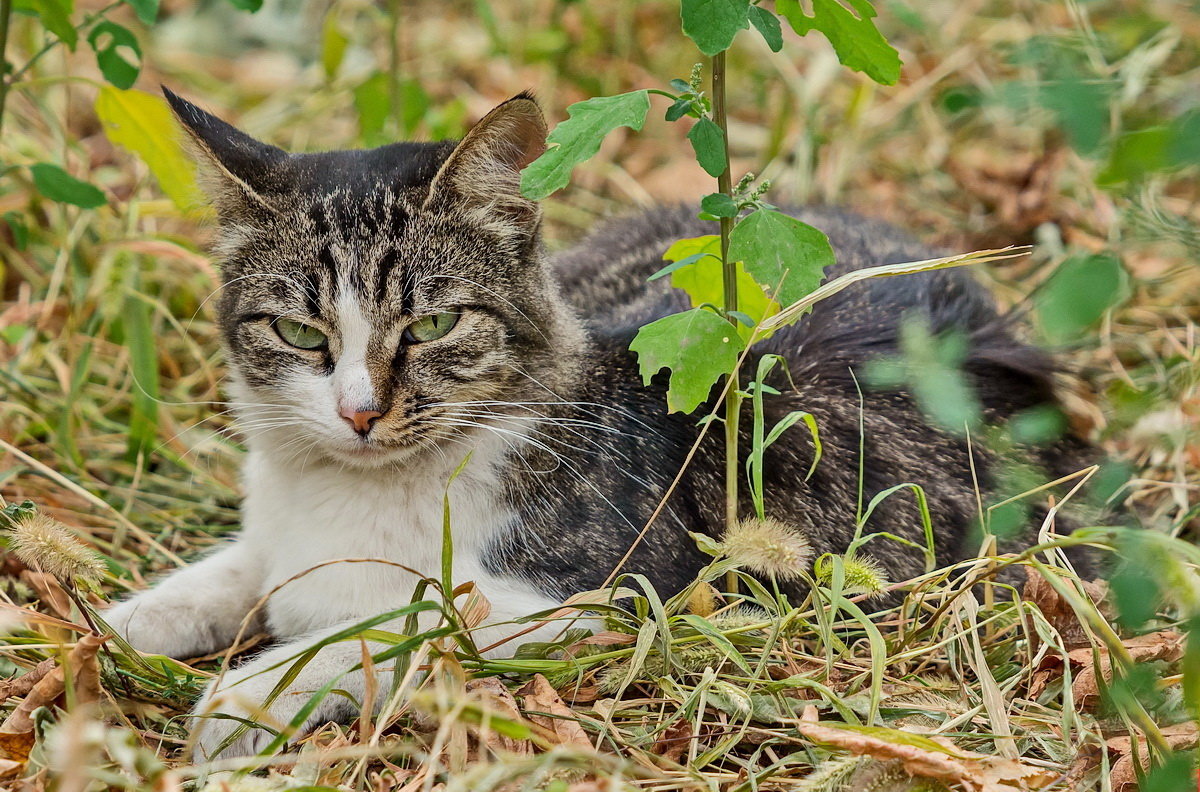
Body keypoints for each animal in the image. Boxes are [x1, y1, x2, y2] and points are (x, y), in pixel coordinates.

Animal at [105, 90, 1089, 758]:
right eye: (301, 334)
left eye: (433, 325)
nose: (359, 412)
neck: (357, 490)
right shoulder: (275, 541)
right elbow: (222, 578)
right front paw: (111, 627)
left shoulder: (623, 597)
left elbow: (402, 621)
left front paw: (245, 696)